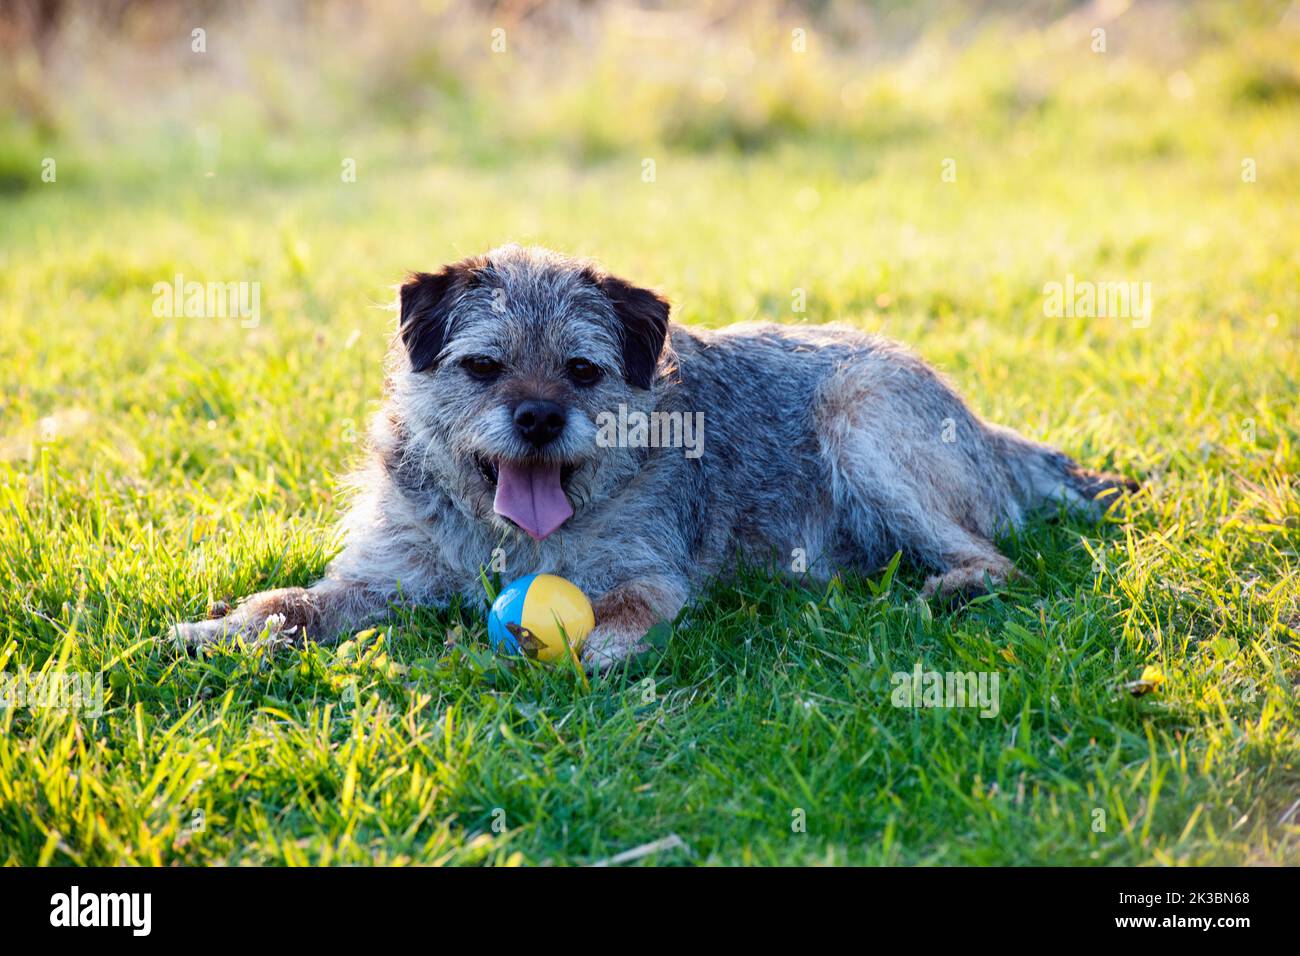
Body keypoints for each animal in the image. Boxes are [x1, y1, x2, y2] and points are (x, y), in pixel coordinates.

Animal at [175, 243, 1138, 671]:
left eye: (583, 370)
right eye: (483, 368)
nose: (537, 418)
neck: (509, 540)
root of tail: (992, 430)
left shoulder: (649, 578)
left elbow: (605, 620)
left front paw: (522, 652)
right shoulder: (380, 577)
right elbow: (290, 602)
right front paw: (218, 630)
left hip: (857, 414)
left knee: (997, 561)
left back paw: (944, 588)